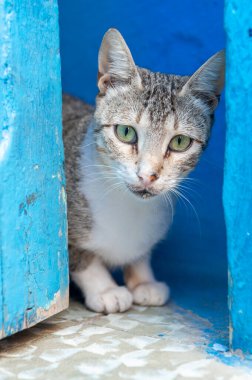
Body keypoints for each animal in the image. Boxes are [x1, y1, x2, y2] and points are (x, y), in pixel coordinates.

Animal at [63, 29, 224, 314]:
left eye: (180, 142)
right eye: (125, 132)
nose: (147, 175)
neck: (128, 206)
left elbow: (140, 252)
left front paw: (143, 280)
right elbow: (79, 255)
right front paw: (104, 289)